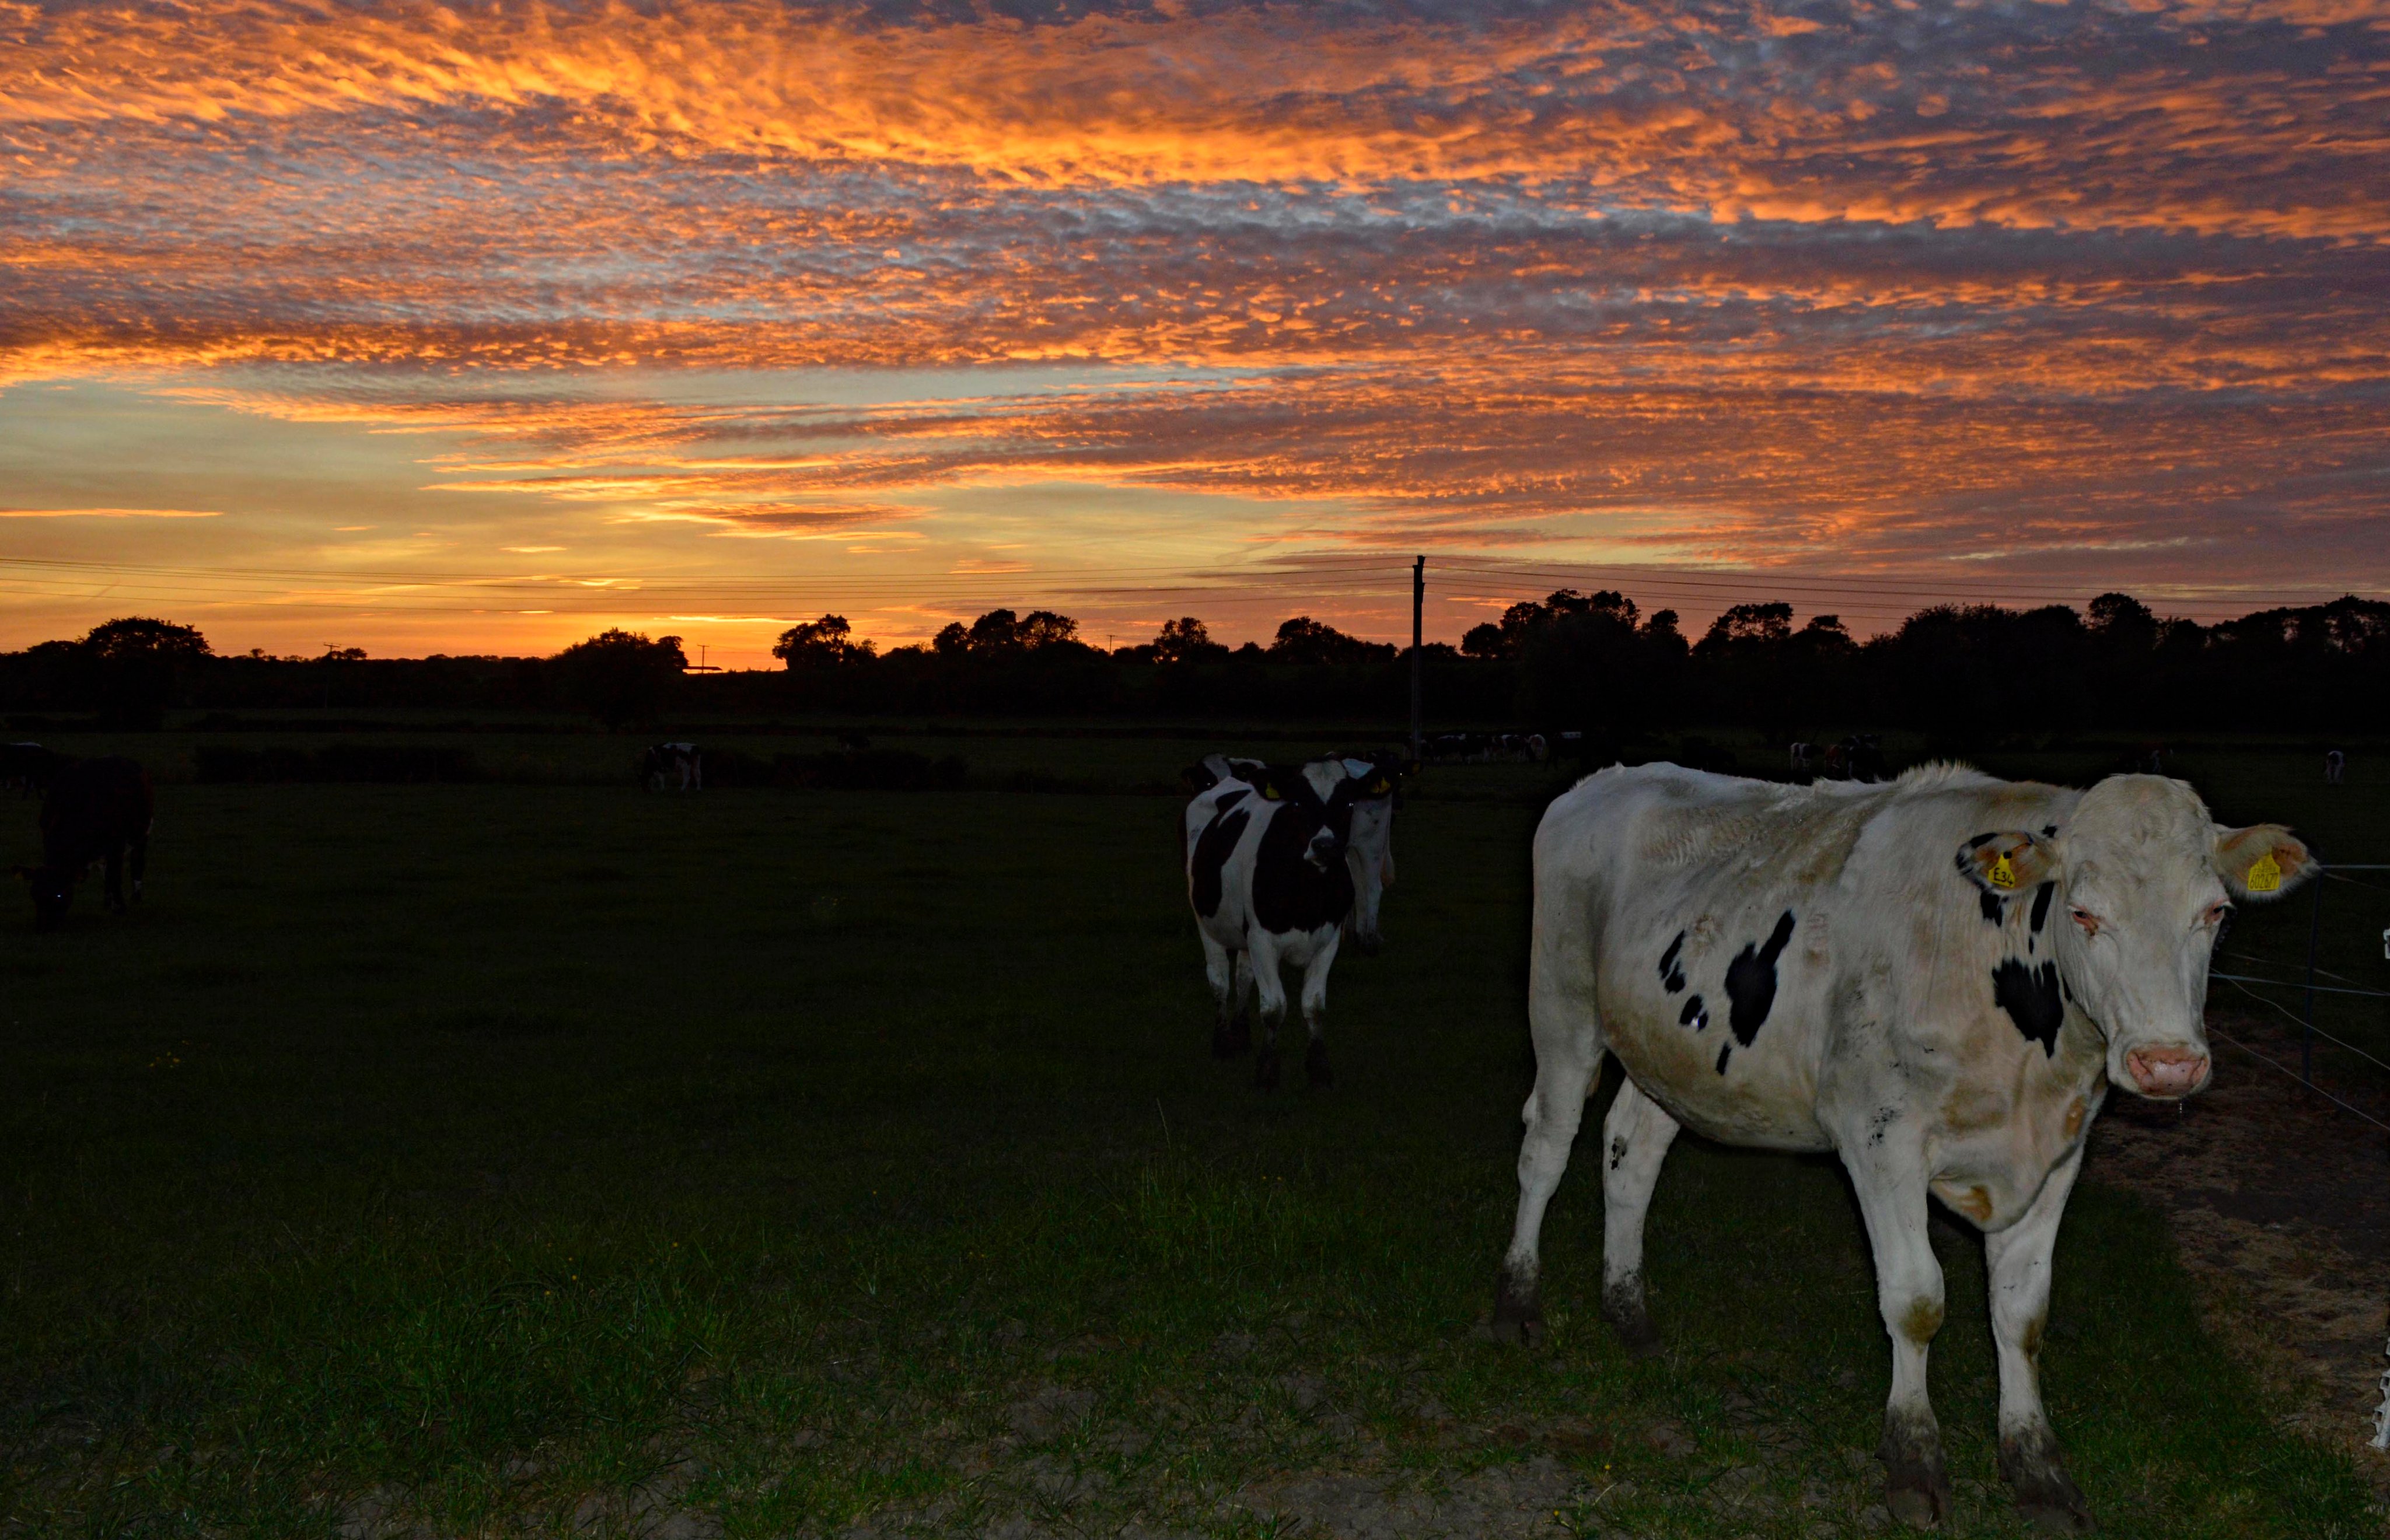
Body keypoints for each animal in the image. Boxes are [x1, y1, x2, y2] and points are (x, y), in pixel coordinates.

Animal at [14, 756, 154, 928]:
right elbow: (108, 874)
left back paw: (136, 897)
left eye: (59, 895)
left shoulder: (116, 844)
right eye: (33, 893)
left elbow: (114, 875)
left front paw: (120, 907)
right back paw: (107, 902)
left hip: (142, 833)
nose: (43, 926)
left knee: (137, 862)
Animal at [1183, 753, 1395, 1089]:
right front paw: (1267, 1072)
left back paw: (1241, 1035)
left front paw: (1319, 1069)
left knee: (1243, 978)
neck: (1308, 892)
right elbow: (1274, 1008)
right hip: (1207, 923)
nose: (1325, 846)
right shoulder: (1262, 939)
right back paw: (1222, 1041)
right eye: (1298, 802)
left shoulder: (1327, 941)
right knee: (1219, 981)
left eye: (1349, 802)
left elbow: (1314, 1005)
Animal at [1490, 762, 2317, 1532]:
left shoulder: (2057, 1152)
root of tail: (1607, 779)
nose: (2167, 1063)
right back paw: (1516, 1305)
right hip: (1561, 1008)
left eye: (2214, 913)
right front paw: (1914, 1461)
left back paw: (1629, 1315)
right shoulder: (1878, 1134)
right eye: (2084, 913)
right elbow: (1916, 1300)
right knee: (1545, 1148)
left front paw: (2037, 1470)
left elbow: (2022, 1314)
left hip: (1669, 1056)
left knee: (1631, 1154)